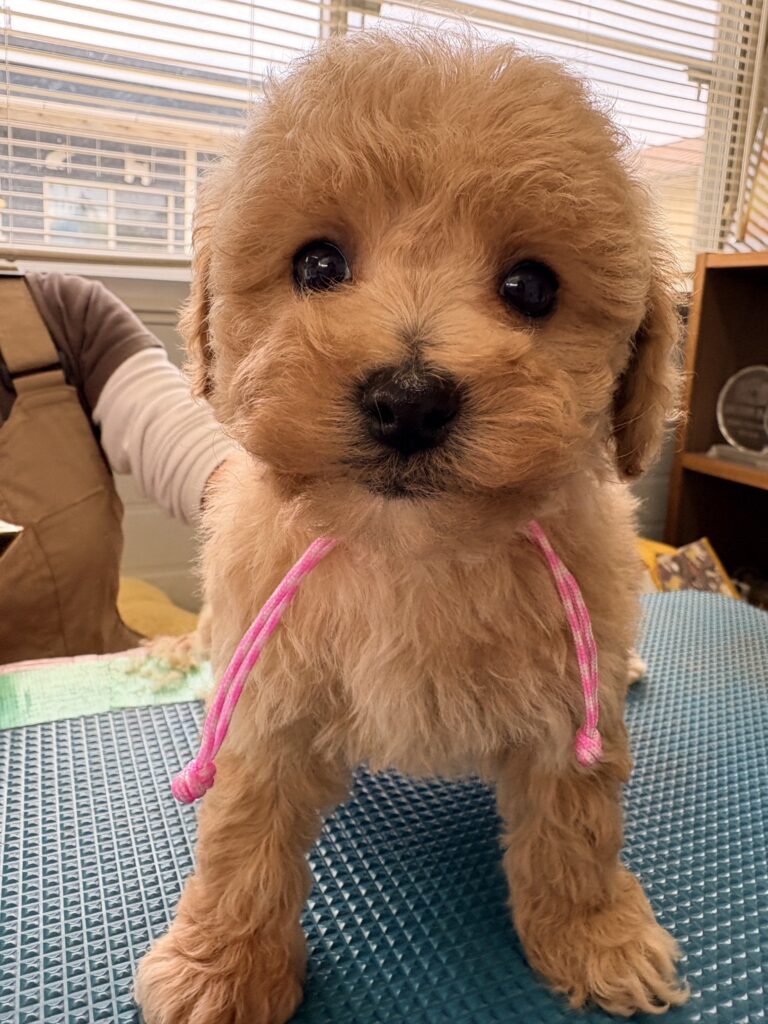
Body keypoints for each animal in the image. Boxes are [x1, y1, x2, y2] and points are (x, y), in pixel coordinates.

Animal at [135, 32, 687, 1023]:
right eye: (317, 265)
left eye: (531, 286)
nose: (409, 400)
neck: (415, 555)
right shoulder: (270, 696)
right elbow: (242, 836)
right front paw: (222, 967)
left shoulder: (566, 706)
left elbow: (576, 828)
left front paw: (596, 937)